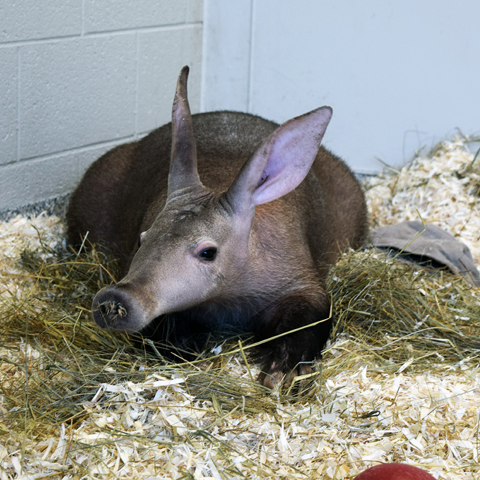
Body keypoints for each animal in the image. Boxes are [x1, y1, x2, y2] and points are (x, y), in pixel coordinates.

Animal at [66, 66, 367, 388]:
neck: (226, 298)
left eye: (208, 252)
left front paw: (281, 372)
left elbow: (311, 315)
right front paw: (188, 349)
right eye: (140, 239)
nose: (116, 298)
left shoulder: (297, 275)